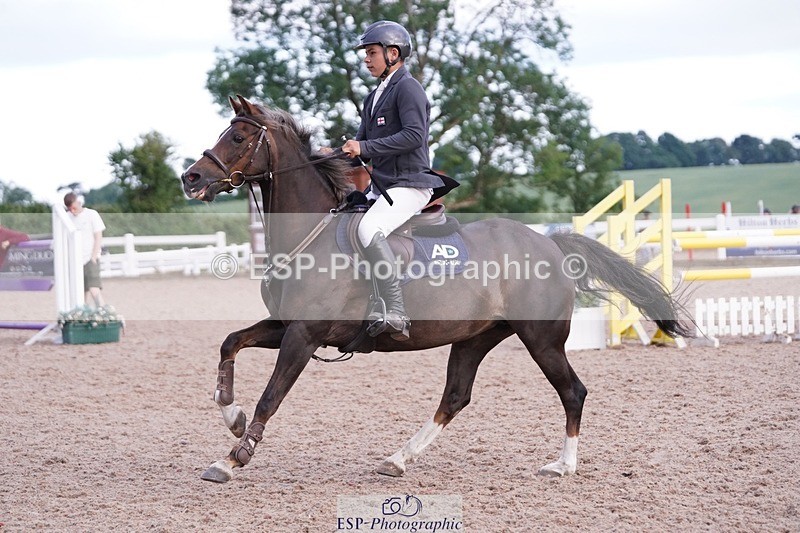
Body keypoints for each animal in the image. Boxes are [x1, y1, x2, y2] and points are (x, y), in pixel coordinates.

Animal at [181, 95, 691, 483]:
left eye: (239, 137)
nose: (192, 178)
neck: (310, 234)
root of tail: (549, 242)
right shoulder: (287, 326)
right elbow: (230, 343)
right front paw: (232, 416)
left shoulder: (304, 335)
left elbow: (272, 395)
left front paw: (232, 459)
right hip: (475, 337)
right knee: (455, 396)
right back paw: (397, 459)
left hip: (541, 338)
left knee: (573, 391)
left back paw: (562, 466)